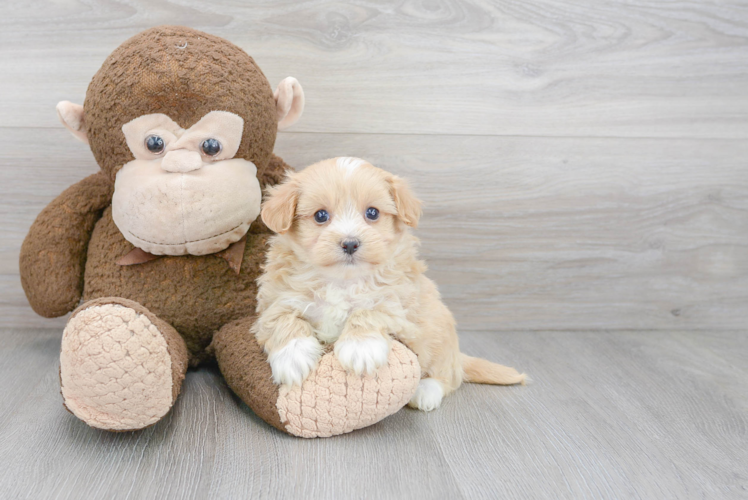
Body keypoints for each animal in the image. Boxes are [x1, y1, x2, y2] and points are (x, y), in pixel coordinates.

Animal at [253, 156, 524, 410]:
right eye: (321, 215)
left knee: (447, 376)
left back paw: (426, 390)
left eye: (372, 213)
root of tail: (458, 356)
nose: (350, 243)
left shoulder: (402, 305)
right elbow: (282, 319)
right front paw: (293, 357)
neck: (342, 281)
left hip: (441, 335)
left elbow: (373, 309)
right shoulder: (276, 299)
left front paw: (360, 347)